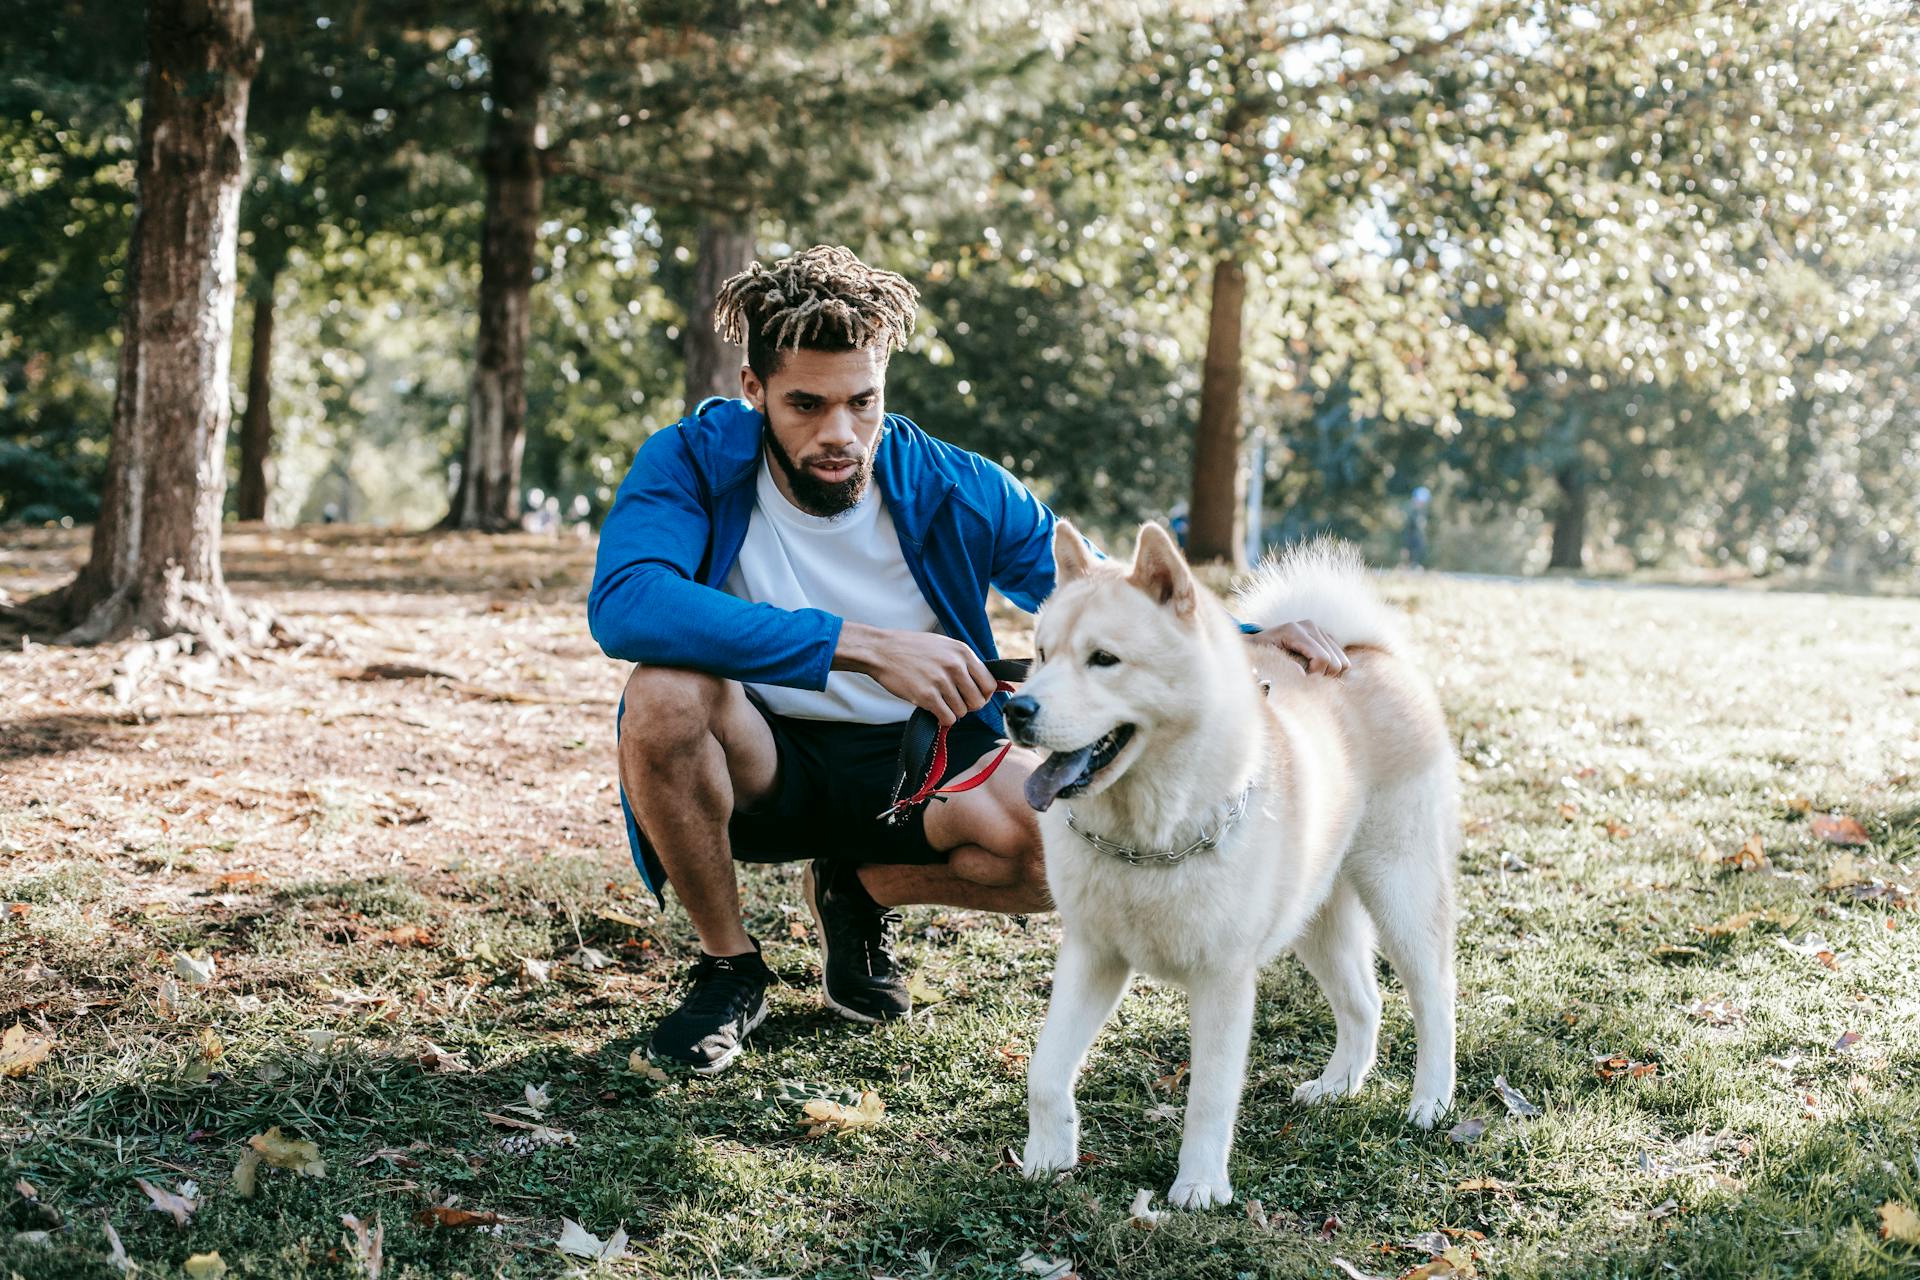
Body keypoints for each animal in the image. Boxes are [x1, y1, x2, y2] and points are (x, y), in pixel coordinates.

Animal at [1006, 521, 1451, 1212]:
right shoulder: (1091, 956)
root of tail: (1365, 651)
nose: (1015, 709)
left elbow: (1209, 1097)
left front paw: (1199, 1187)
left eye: (1103, 659)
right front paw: (1048, 1159)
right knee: (1364, 1003)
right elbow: (1045, 1070)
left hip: (1400, 891)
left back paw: (1431, 1102)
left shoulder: (1222, 980)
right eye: (1041, 654)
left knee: (1434, 998)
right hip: (1315, 920)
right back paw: (1338, 1086)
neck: (1147, 837)